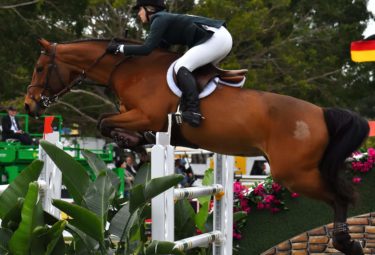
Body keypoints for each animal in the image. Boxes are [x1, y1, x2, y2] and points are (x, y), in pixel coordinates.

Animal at [25, 36, 368, 254]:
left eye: (40, 68)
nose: (30, 105)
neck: (129, 69)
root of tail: (321, 113)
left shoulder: (146, 116)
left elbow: (105, 122)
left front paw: (134, 146)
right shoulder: (139, 117)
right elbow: (108, 124)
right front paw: (135, 147)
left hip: (295, 174)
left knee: (341, 197)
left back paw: (346, 242)